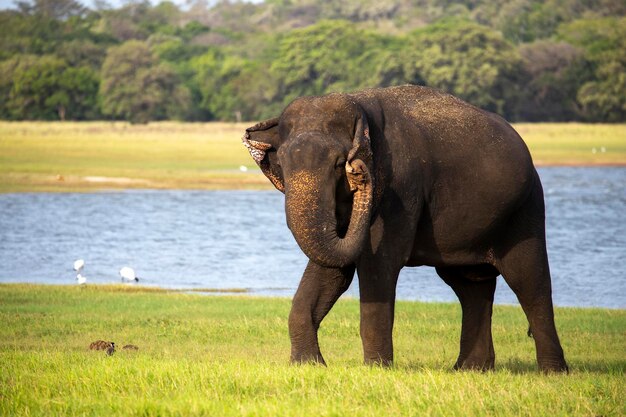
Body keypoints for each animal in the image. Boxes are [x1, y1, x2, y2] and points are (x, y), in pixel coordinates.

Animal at [241, 83, 568, 370]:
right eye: (282, 163)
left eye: (338, 164)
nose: (358, 172)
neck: (359, 105)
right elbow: (332, 269)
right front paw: (309, 366)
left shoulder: (400, 186)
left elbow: (378, 263)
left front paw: (375, 369)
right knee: (470, 285)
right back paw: (470, 369)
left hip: (525, 209)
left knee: (529, 281)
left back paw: (552, 372)